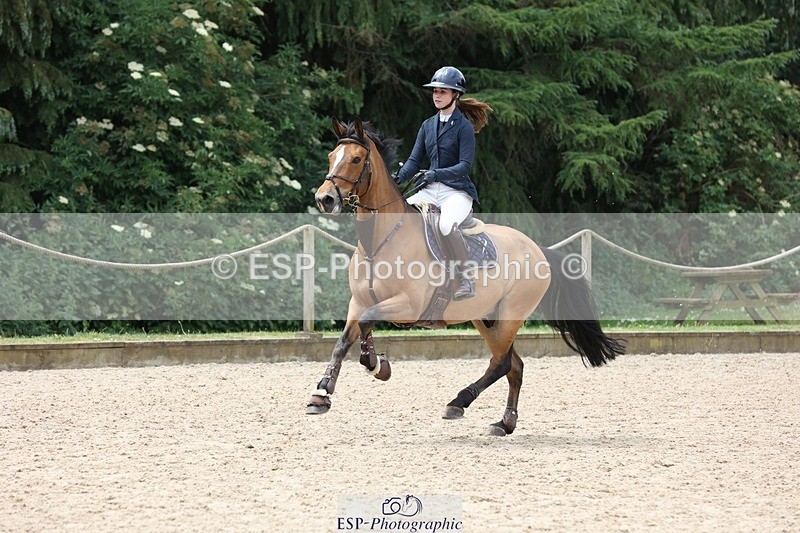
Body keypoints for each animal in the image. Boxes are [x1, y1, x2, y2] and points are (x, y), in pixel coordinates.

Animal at [307, 117, 624, 436]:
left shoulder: (408, 306)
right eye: (332, 156)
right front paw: (322, 393)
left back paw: (458, 402)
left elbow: (367, 321)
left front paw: (376, 364)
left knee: (501, 363)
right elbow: (344, 341)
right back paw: (504, 423)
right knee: (514, 366)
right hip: (487, 318)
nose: (325, 199)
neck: (379, 242)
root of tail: (537, 249)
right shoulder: (358, 303)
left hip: (511, 315)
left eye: (356, 159)